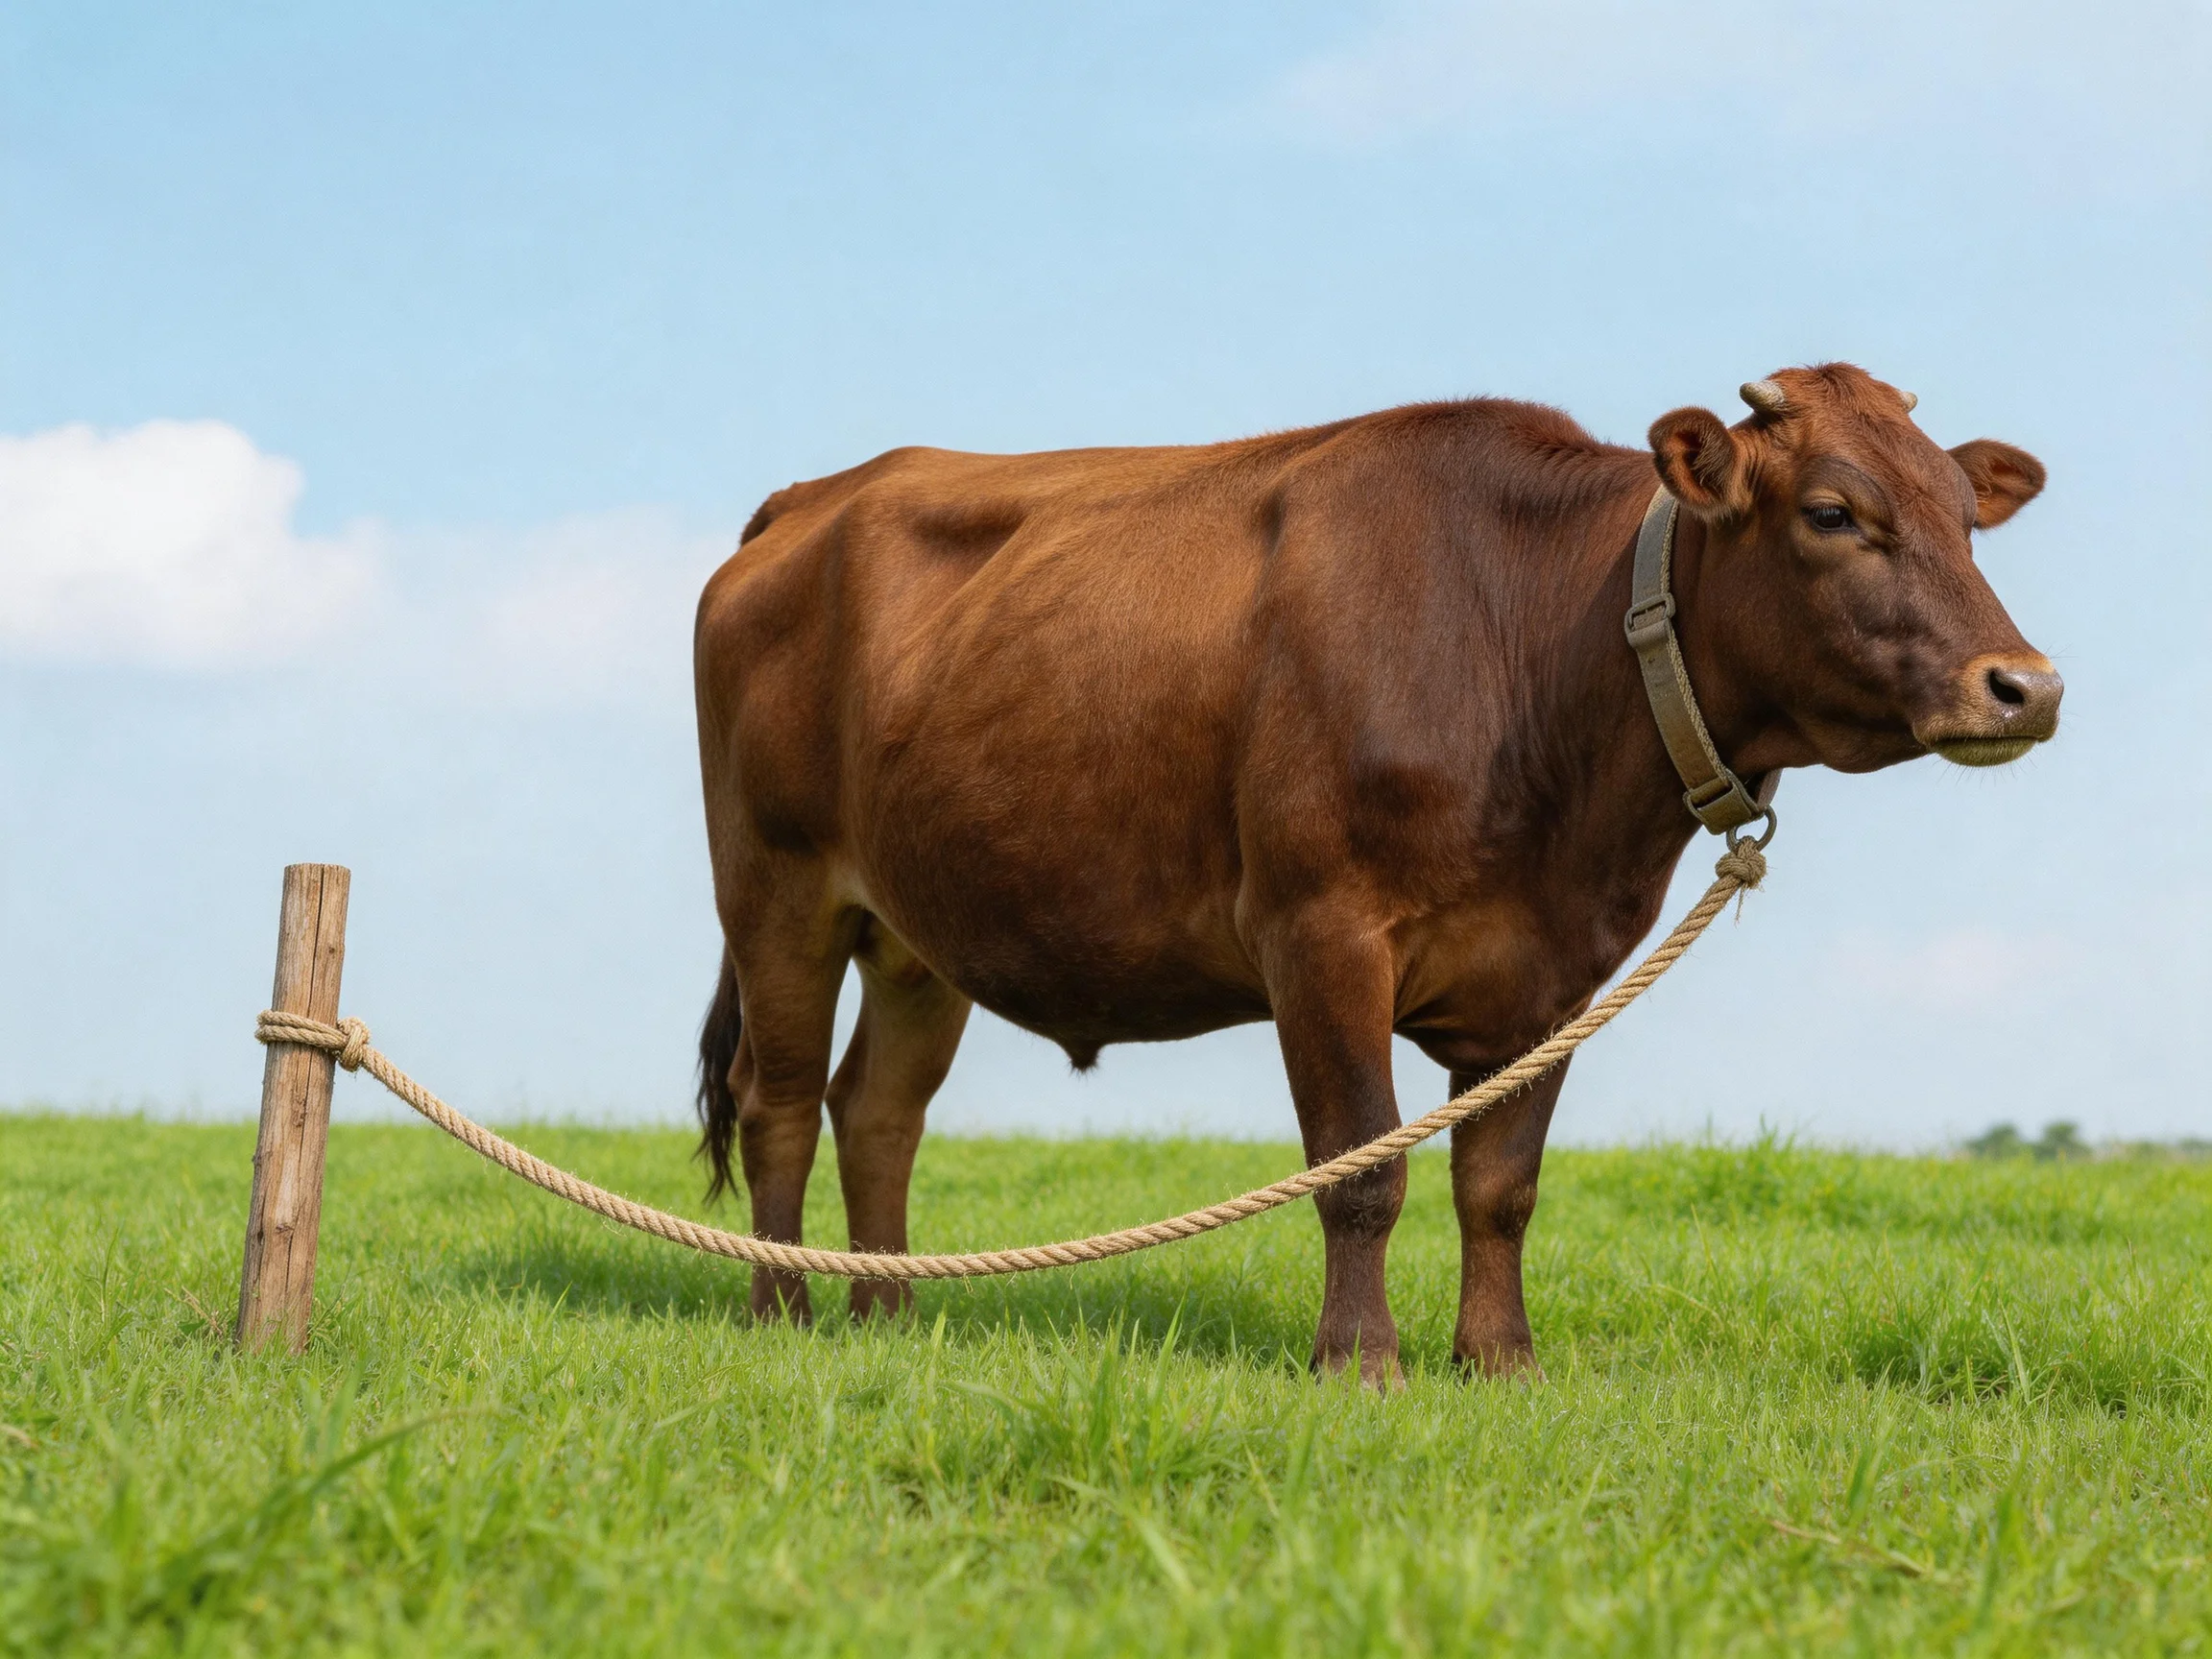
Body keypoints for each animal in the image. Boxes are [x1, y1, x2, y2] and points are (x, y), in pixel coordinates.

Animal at [691, 362, 2059, 1384]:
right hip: (776, 887)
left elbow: (1500, 1183)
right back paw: (781, 1315)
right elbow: (1363, 1167)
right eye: (1833, 512)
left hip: (919, 930)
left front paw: (1499, 1362)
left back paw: (885, 1318)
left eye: (1965, 517)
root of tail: (817, 496)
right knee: (780, 1098)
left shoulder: (1557, 974)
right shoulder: (1321, 930)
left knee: (877, 1110)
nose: (2025, 685)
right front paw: (1360, 1362)